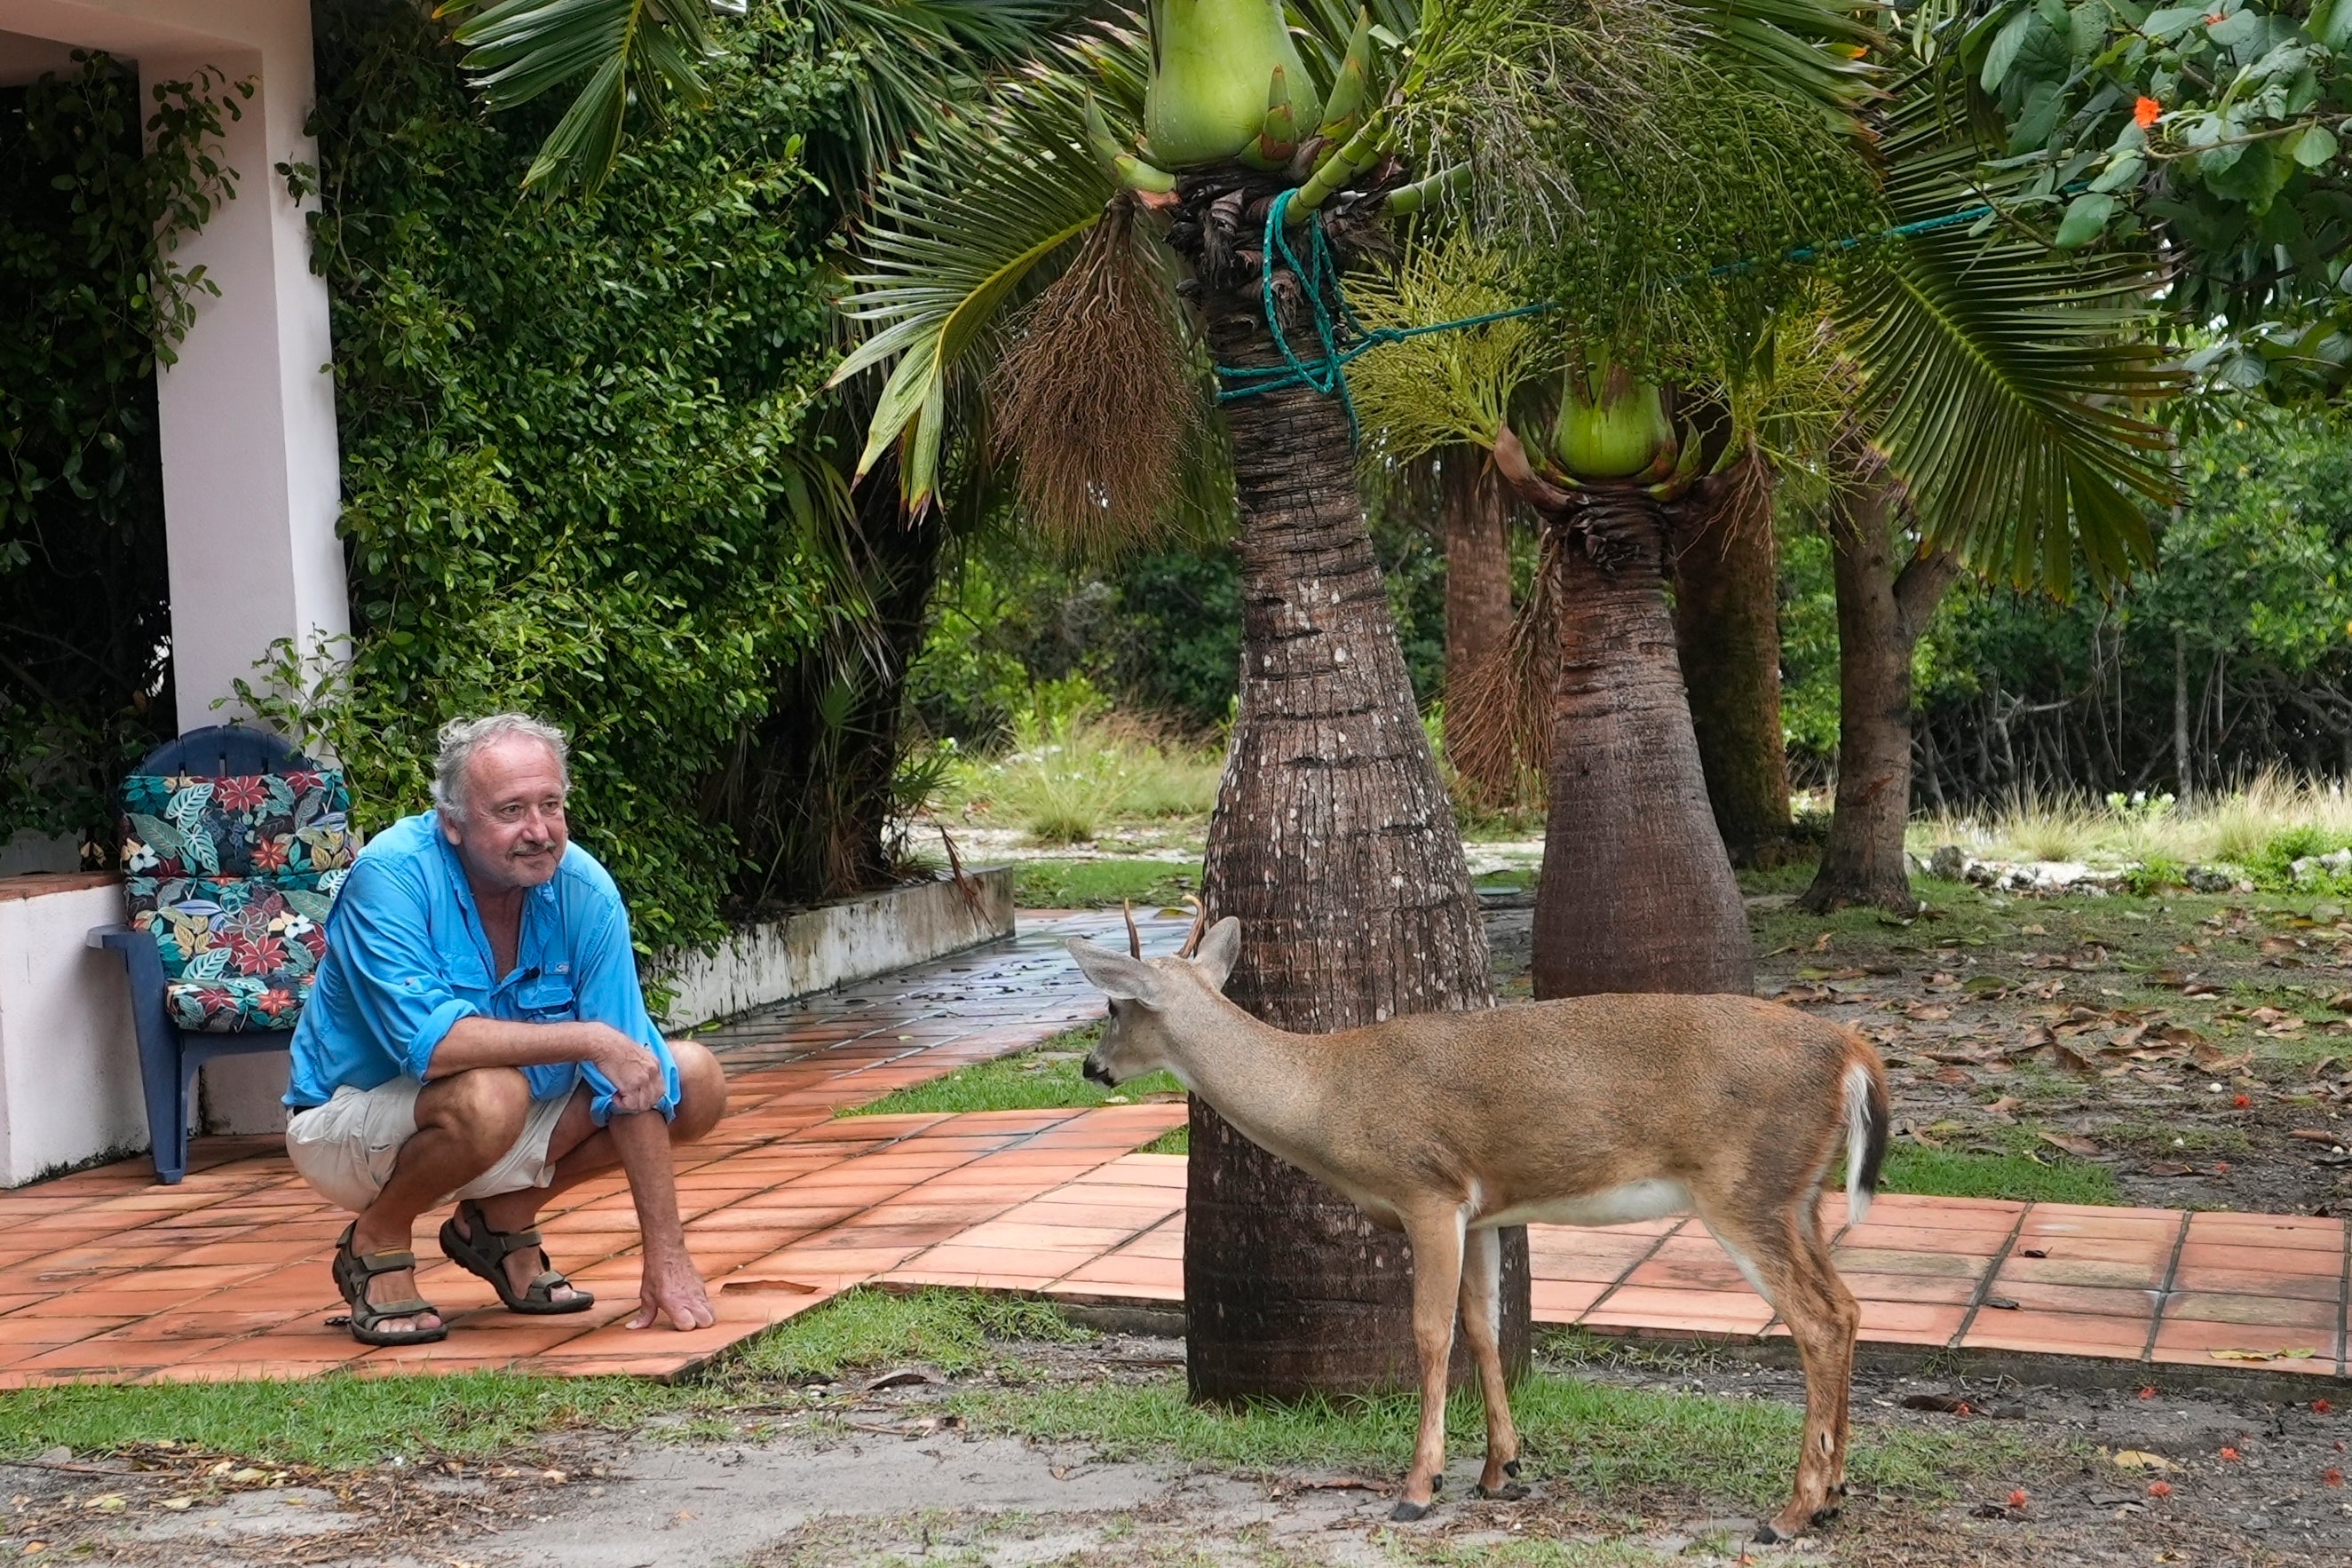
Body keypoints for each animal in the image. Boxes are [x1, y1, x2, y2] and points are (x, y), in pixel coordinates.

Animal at [1070, 911, 1889, 1544]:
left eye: (1112, 1007)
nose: (1090, 1068)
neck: (1325, 1097)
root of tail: (1853, 1053)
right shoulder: (1484, 1211)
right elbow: (1483, 1324)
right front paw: (1502, 1470)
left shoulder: (1425, 1191)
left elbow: (1430, 1331)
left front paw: (1417, 1487)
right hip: (1800, 1197)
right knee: (1848, 1308)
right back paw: (1833, 1496)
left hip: (1741, 1189)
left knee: (1815, 1321)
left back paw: (1790, 1513)